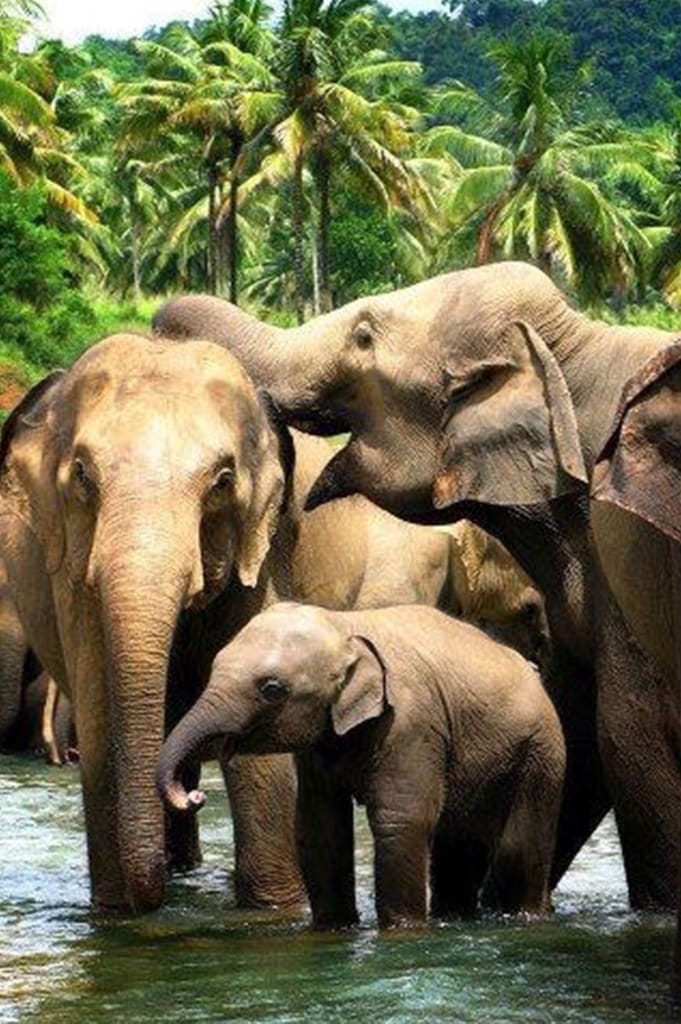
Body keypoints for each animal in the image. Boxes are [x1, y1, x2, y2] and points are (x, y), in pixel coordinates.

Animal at [0, 330, 517, 914]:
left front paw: (274, 911)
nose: (191, 797)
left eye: (222, 481)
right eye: (83, 476)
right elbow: (100, 712)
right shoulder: (66, 560)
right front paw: (115, 916)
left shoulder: (266, 546)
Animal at [156, 602, 565, 928]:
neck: (344, 625)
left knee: (517, 847)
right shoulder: (321, 740)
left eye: (271, 689)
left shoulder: (411, 723)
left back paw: (524, 918)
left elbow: (401, 820)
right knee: (458, 851)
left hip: (542, 752)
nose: (195, 796)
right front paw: (332, 929)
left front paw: (401, 932)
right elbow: (319, 825)